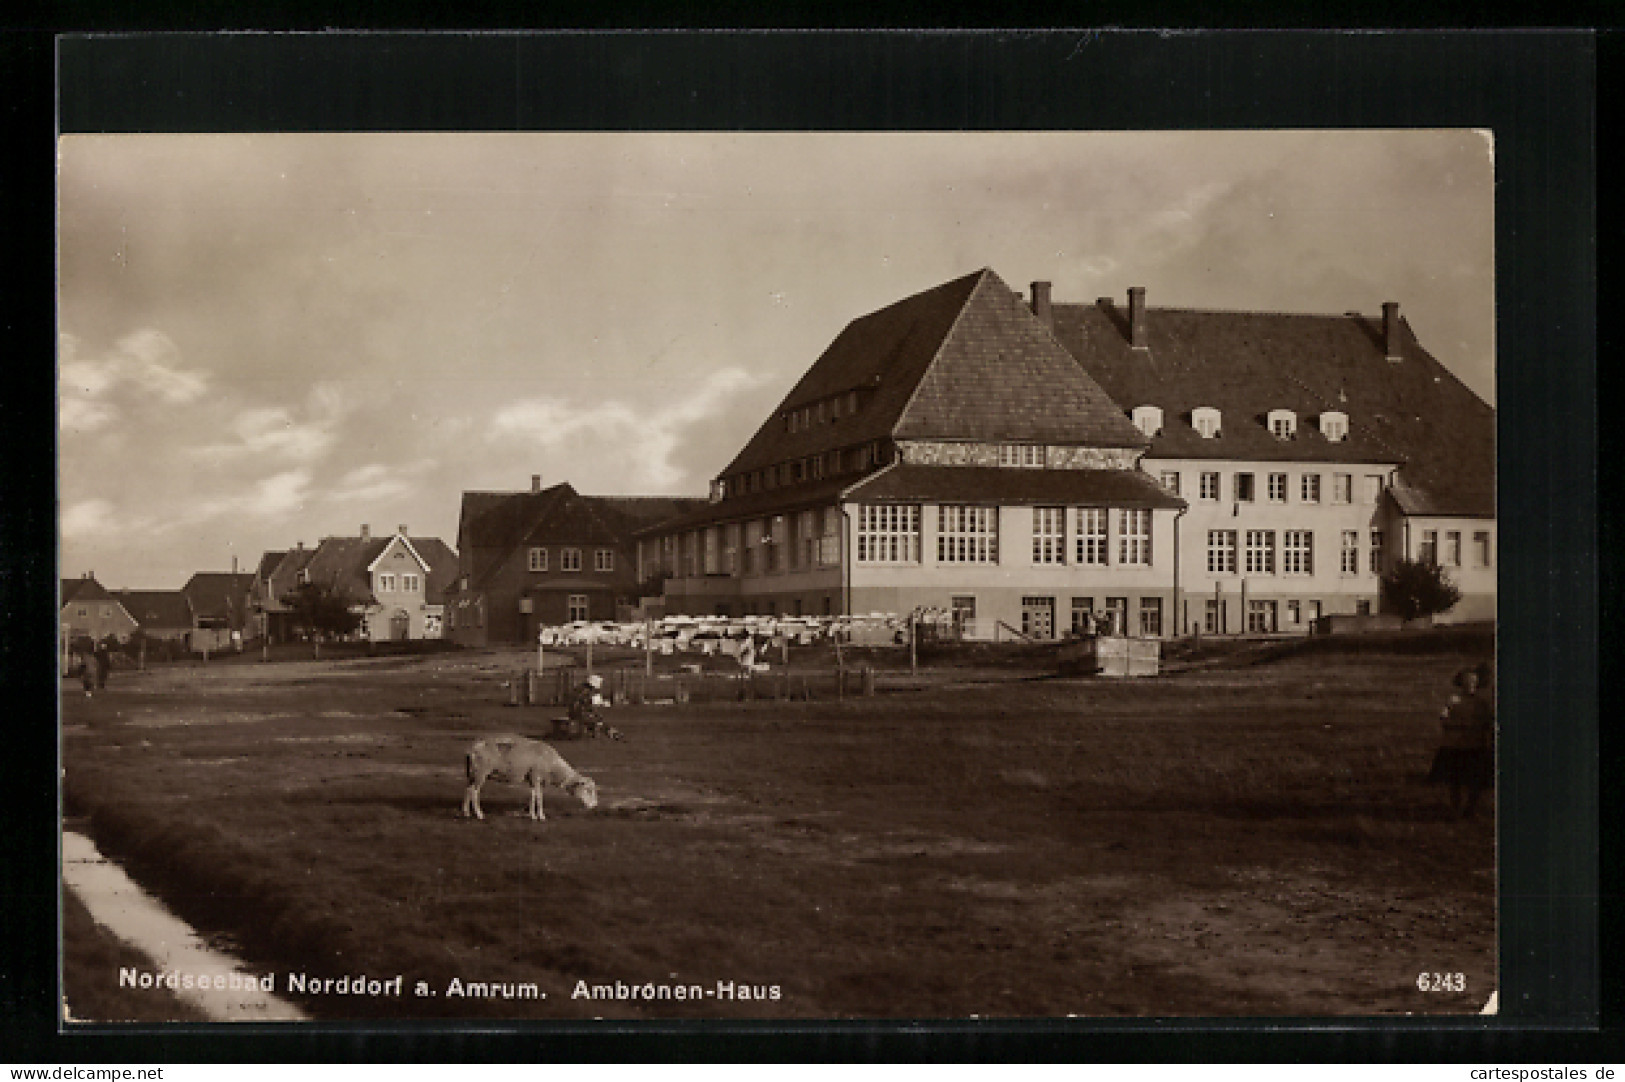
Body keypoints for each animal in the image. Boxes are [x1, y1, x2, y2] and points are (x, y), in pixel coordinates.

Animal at [461, 734, 601, 818]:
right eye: (588, 790)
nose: (595, 805)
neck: (553, 765)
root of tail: (472, 749)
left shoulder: (534, 779)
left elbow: (533, 795)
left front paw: (532, 815)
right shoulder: (536, 776)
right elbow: (539, 797)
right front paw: (541, 816)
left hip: (472, 774)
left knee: (468, 789)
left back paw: (466, 812)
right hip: (481, 772)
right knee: (474, 792)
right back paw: (479, 814)